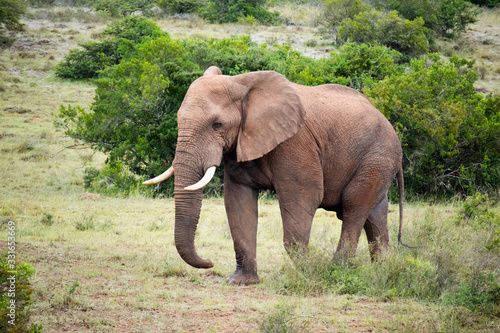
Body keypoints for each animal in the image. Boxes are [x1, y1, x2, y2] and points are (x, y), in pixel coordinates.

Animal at [143, 66, 404, 284]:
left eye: (217, 124)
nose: (209, 262)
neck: (241, 85)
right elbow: (238, 202)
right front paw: (241, 282)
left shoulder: (295, 142)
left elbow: (302, 198)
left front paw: (310, 271)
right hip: (378, 162)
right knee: (375, 214)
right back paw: (383, 271)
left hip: (378, 156)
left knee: (353, 208)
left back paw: (335, 270)